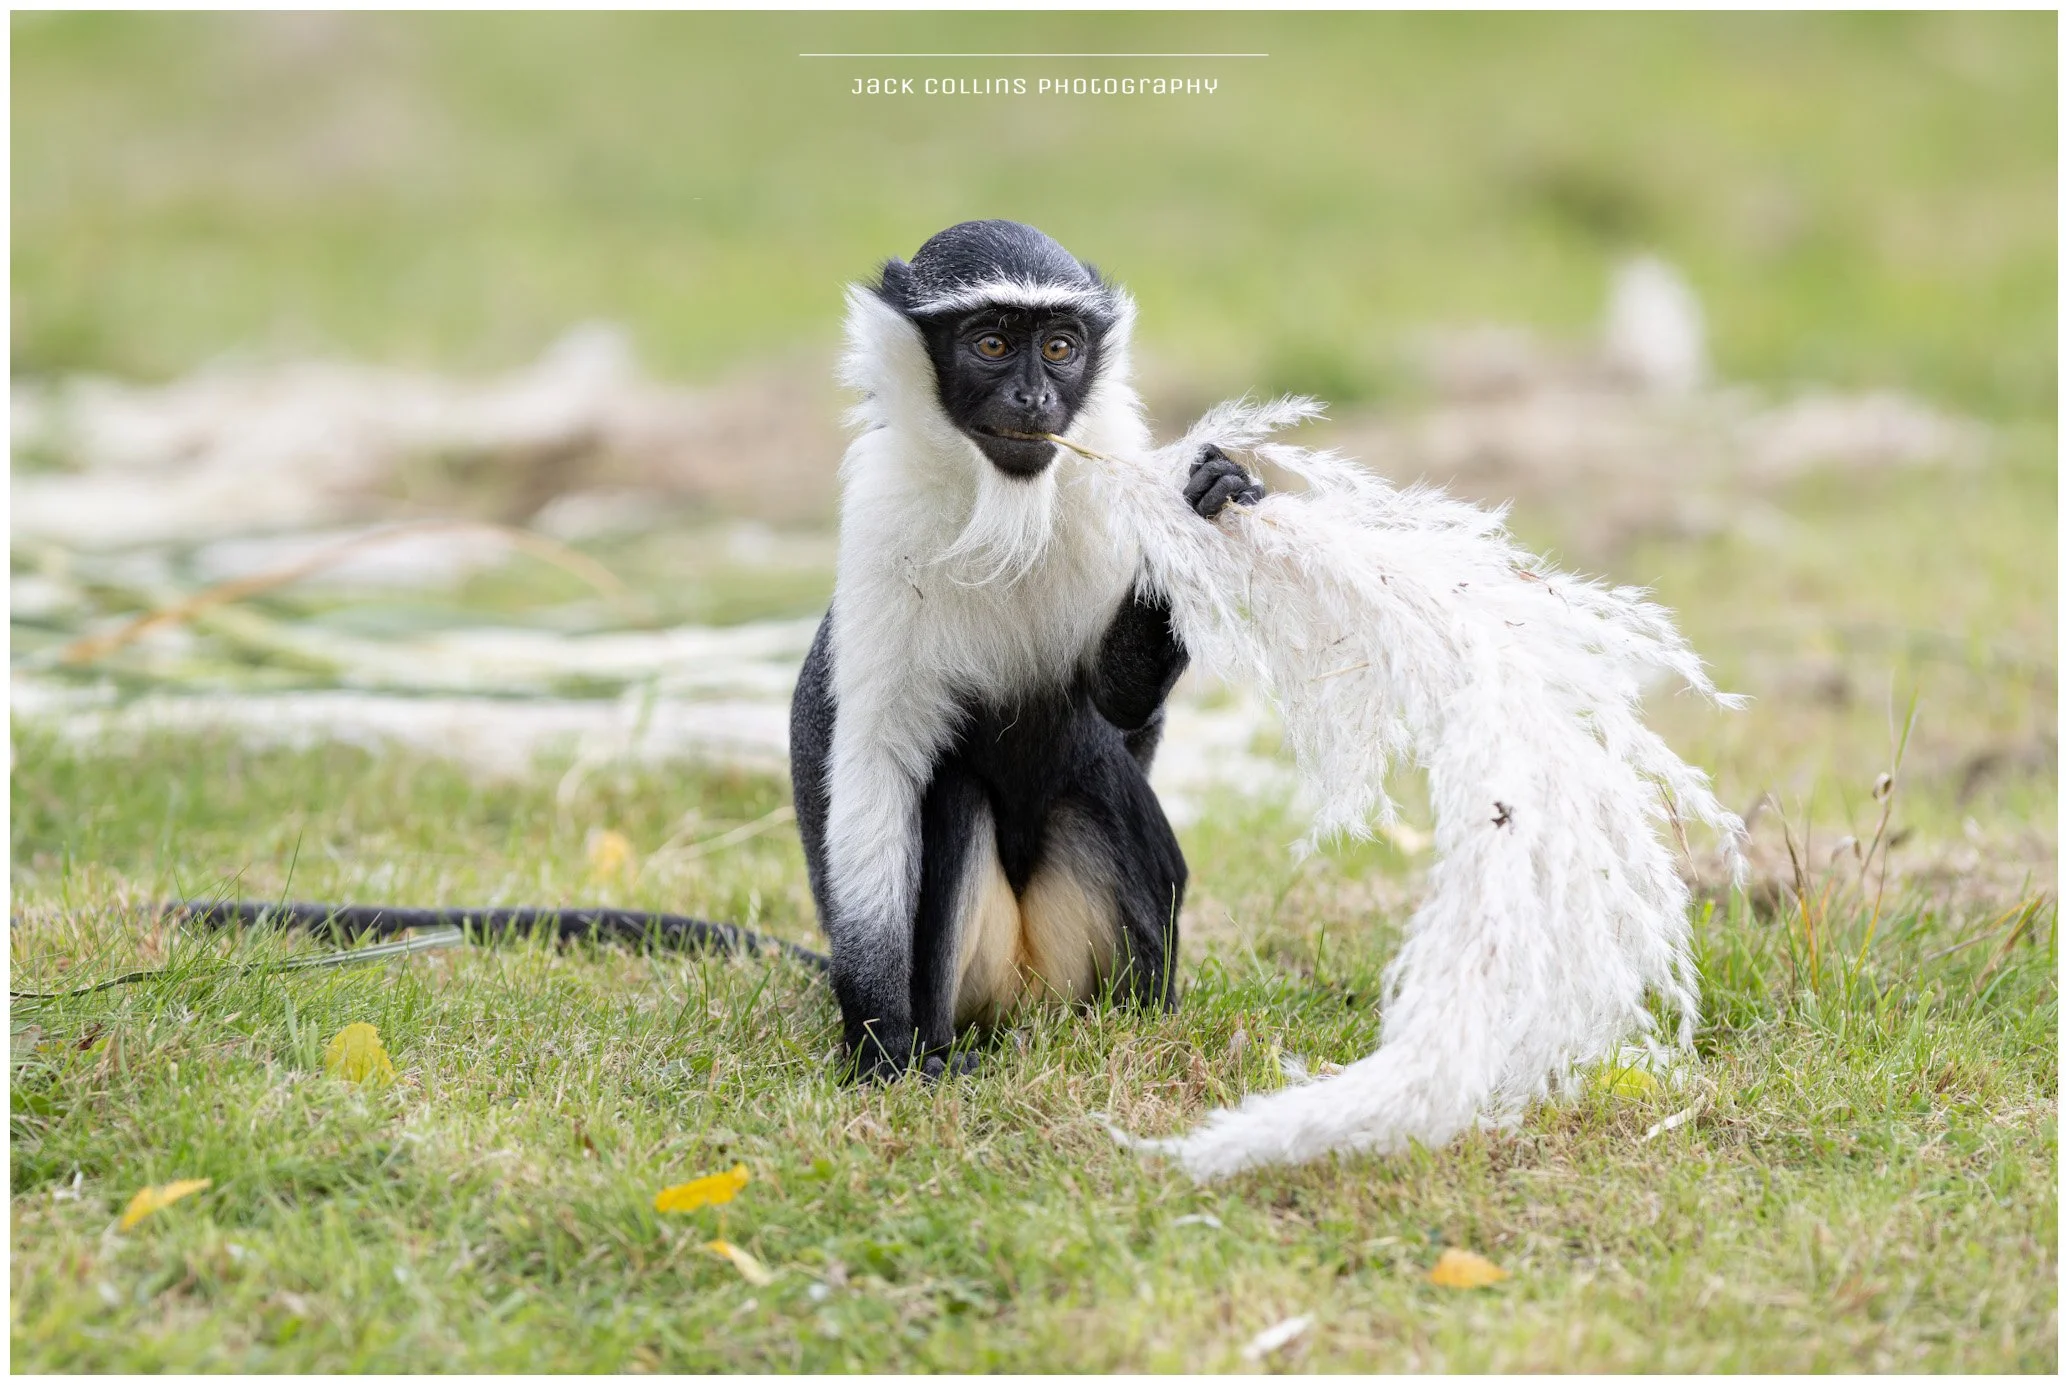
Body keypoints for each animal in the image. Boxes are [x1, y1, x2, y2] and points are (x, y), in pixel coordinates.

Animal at [75, 222, 1265, 1086]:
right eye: (989, 343)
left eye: (1058, 345)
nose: (1032, 399)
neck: (1003, 500)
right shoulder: (880, 530)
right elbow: (878, 765)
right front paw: (883, 1054)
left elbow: (1121, 717)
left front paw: (1203, 508)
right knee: (954, 792)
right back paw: (923, 1045)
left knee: (1091, 770)